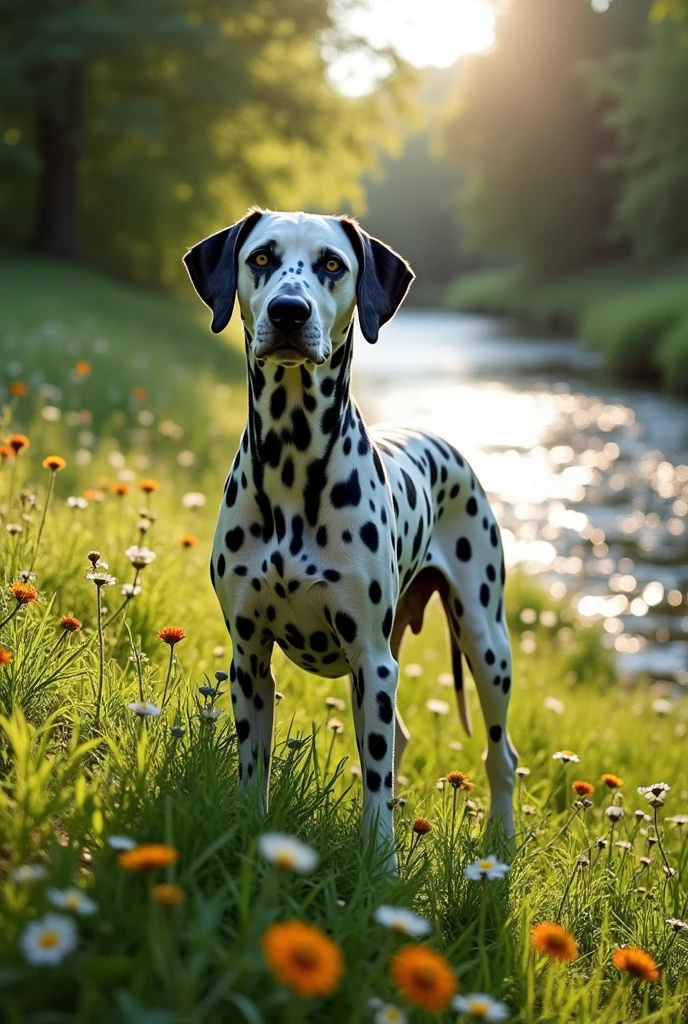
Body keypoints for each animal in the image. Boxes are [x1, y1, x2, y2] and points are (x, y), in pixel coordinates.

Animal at [182, 209, 516, 864]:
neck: (292, 463)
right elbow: (253, 767)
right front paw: (249, 833)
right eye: (261, 257)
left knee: (500, 755)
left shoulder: (371, 661)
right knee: (403, 741)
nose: (289, 310)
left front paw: (382, 868)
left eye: (332, 264)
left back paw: (501, 845)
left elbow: (376, 782)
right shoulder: (249, 658)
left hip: (484, 643)